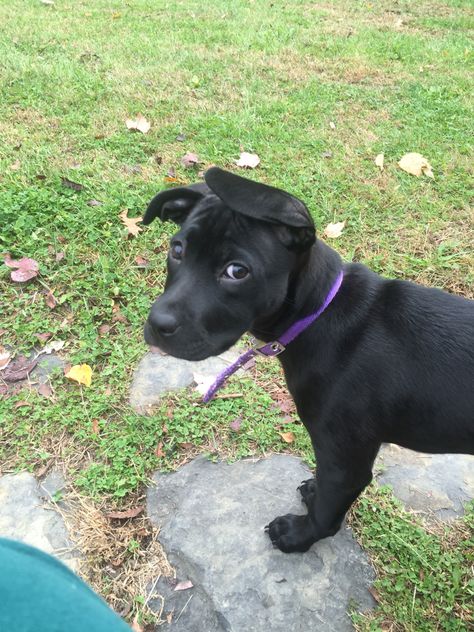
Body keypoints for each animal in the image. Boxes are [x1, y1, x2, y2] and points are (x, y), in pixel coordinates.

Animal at [142, 168, 474, 552]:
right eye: (177, 249)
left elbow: (328, 513)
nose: (157, 324)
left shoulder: (344, 463)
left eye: (237, 271)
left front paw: (298, 535)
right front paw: (313, 492)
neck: (320, 314)